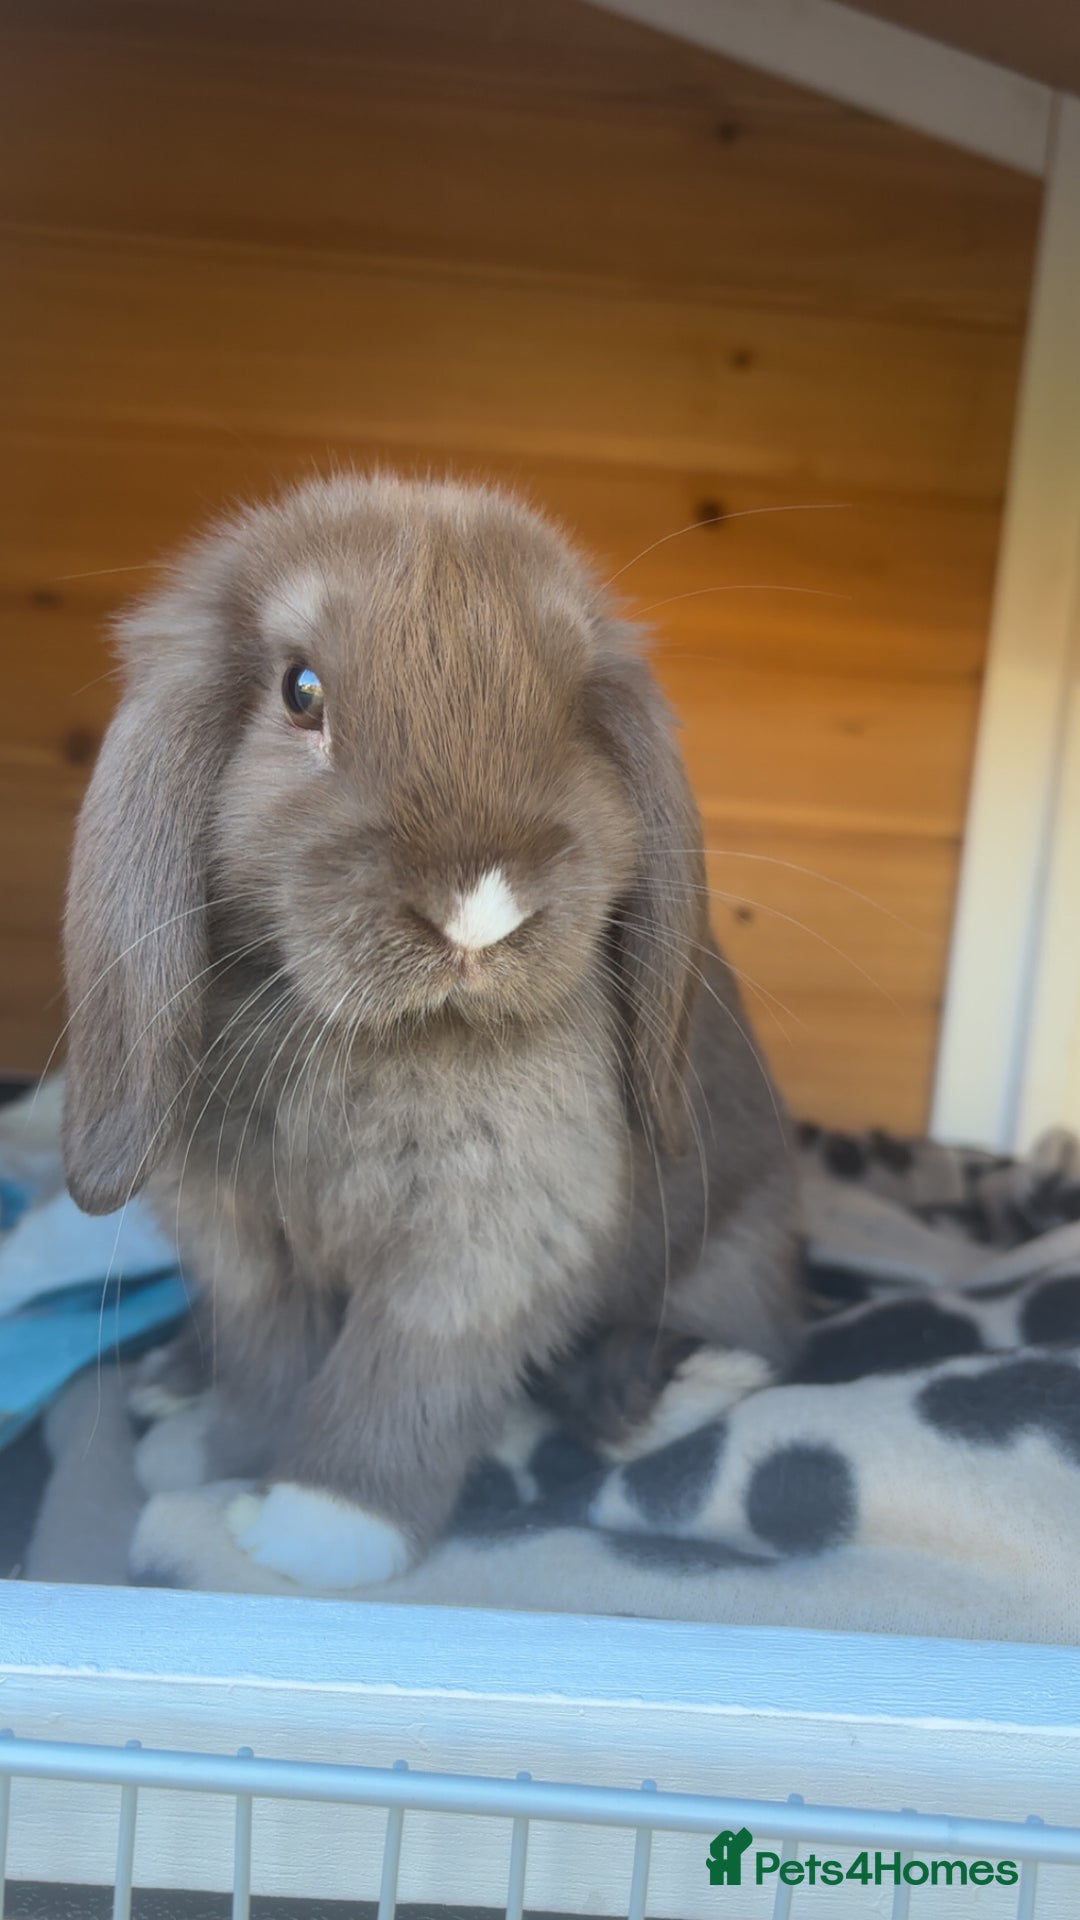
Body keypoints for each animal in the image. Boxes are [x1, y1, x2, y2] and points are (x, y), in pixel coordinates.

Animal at [62, 472, 802, 1589]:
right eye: (302, 691)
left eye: (574, 709)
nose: (478, 910)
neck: (354, 1036)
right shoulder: (238, 1244)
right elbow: (265, 1360)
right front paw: (231, 1457)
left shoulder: (489, 1230)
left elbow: (408, 1365)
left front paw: (316, 1527)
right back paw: (173, 1388)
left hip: (731, 1248)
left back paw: (673, 1384)